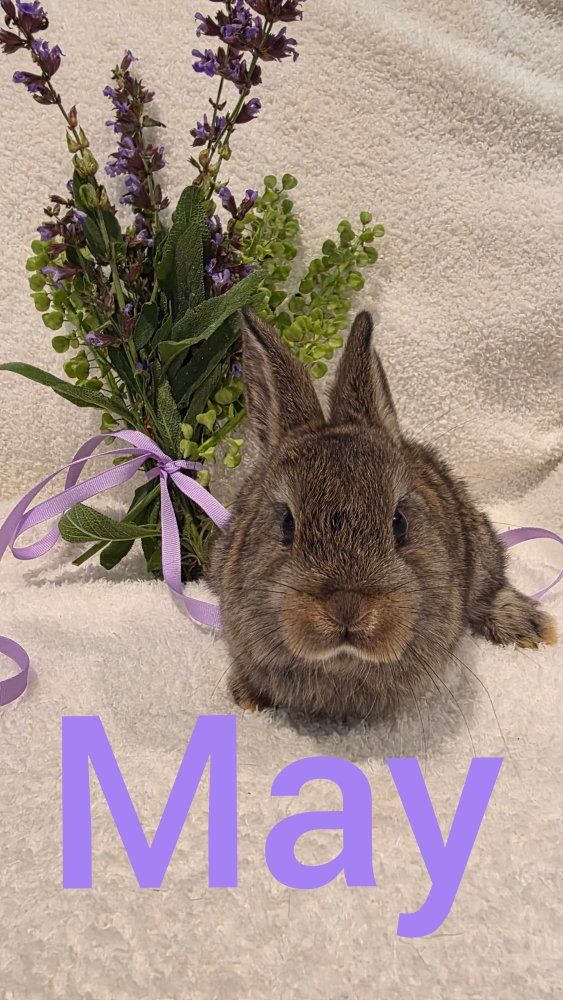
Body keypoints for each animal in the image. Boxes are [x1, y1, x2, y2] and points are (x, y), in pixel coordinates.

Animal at [207, 309, 557, 721]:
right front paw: (248, 695)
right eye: (287, 524)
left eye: (399, 523)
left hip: (480, 550)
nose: (347, 609)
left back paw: (527, 628)